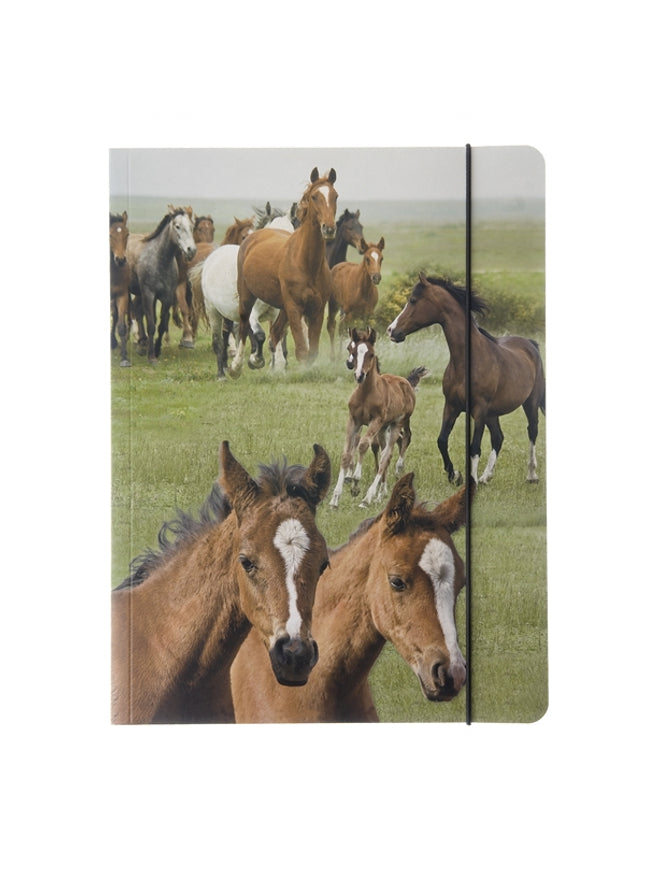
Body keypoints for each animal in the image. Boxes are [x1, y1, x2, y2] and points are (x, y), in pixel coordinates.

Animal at [128, 206, 196, 362]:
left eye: (191, 226)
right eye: (177, 226)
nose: (191, 250)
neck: (159, 260)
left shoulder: (167, 297)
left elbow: (162, 324)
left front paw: (157, 349)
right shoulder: (149, 294)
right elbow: (151, 324)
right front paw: (152, 357)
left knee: (137, 312)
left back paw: (142, 343)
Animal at [231, 167, 338, 375]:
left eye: (335, 196)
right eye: (314, 196)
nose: (329, 228)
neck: (306, 263)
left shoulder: (317, 308)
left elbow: (311, 351)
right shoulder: (295, 307)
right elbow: (302, 350)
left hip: (282, 307)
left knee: (274, 333)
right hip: (247, 296)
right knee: (243, 326)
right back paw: (236, 367)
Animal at [329, 328, 428, 509]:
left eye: (371, 354)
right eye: (352, 351)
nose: (359, 375)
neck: (366, 393)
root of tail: (406, 382)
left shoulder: (375, 421)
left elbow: (363, 445)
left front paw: (356, 483)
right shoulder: (354, 420)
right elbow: (347, 454)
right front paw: (335, 498)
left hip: (396, 424)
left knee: (387, 457)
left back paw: (368, 498)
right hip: (383, 428)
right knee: (383, 454)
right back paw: (377, 494)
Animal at [387, 273, 546, 484]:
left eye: (413, 300)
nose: (391, 331)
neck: (467, 361)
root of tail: (530, 344)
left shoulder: (479, 410)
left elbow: (474, 447)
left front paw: (469, 479)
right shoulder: (452, 406)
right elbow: (442, 440)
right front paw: (455, 475)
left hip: (530, 403)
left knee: (532, 431)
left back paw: (531, 475)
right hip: (492, 413)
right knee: (498, 437)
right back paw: (486, 477)